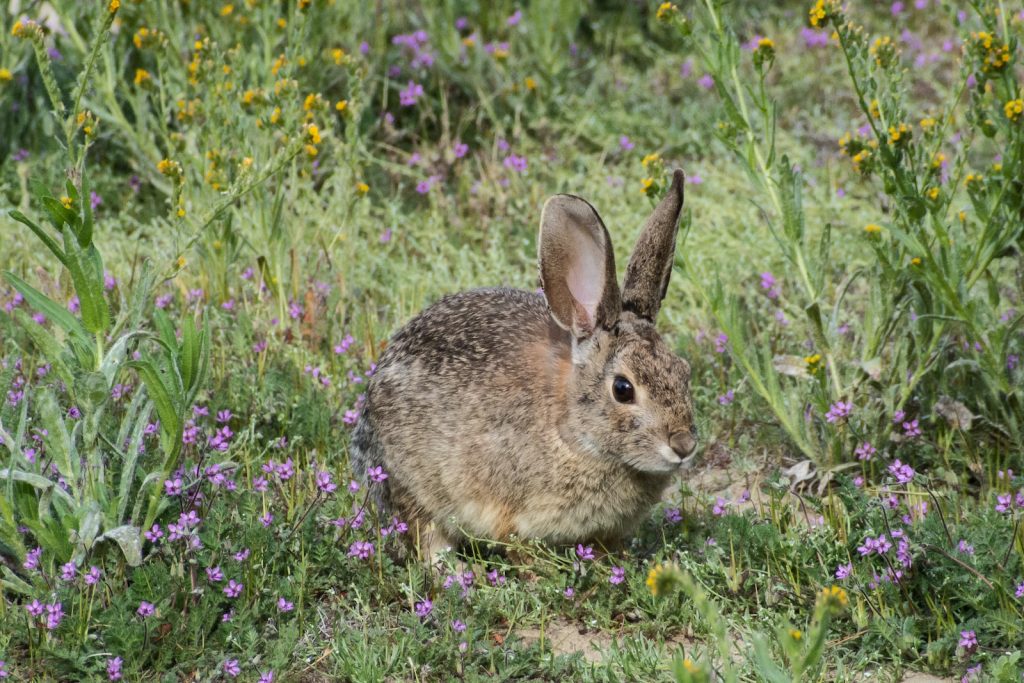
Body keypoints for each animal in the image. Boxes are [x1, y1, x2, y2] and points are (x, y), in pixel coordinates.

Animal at [352, 169, 696, 557]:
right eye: (623, 389)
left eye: (683, 371)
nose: (684, 445)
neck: (574, 433)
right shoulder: (515, 516)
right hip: (412, 488)